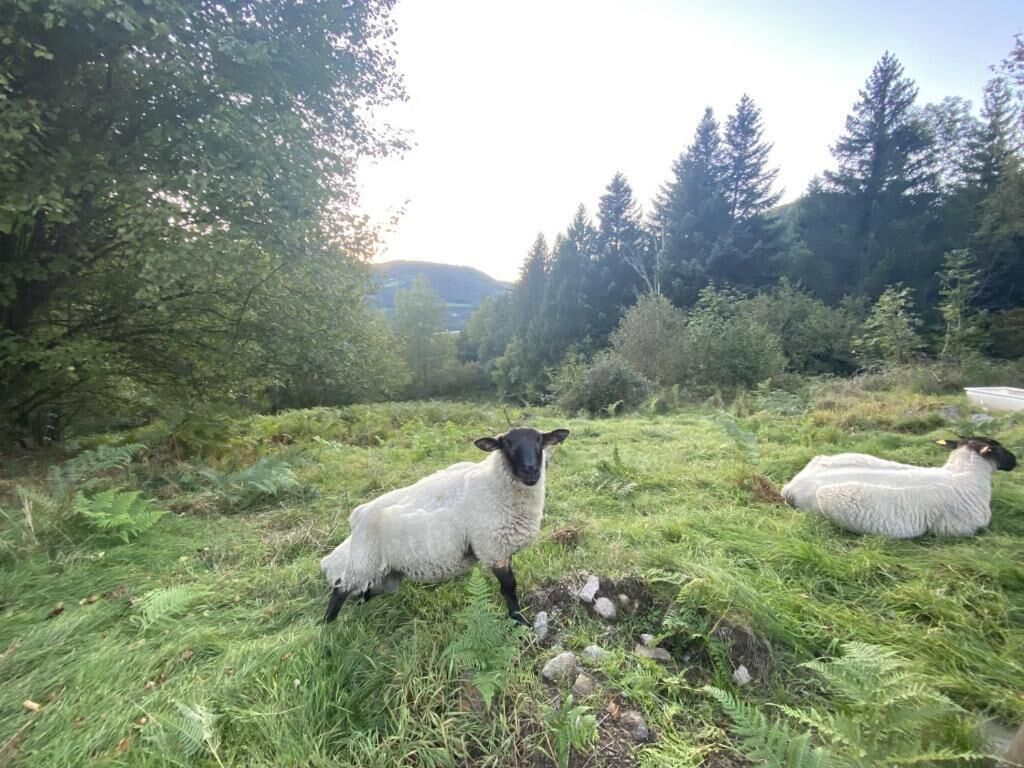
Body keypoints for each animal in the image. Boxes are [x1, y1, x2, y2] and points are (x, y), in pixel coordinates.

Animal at [321, 426, 570, 623]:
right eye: (506, 444)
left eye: (539, 440)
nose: (530, 470)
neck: (495, 483)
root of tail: (358, 515)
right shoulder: (493, 548)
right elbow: (509, 588)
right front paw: (519, 621)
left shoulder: (503, 548)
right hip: (364, 560)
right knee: (340, 587)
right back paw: (327, 625)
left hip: (385, 574)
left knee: (363, 591)